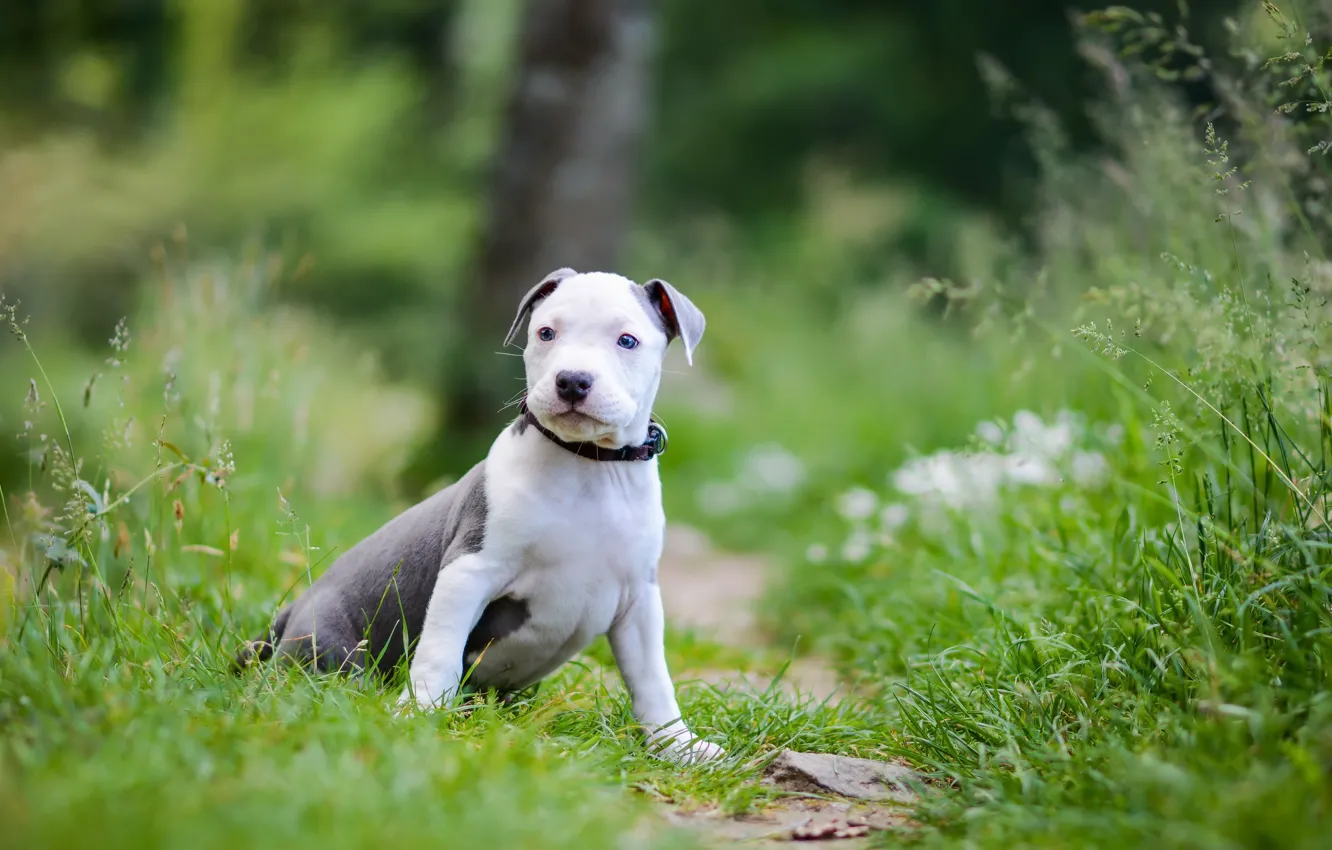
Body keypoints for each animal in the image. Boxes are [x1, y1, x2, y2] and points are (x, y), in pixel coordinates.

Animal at [234, 267, 724, 767]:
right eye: (546, 333)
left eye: (627, 340)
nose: (572, 381)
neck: (588, 465)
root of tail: (292, 609)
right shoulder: (469, 569)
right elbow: (440, 650)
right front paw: (420, 713)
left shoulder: (638, 599)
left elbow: (653, 681)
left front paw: (679, 746)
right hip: (331, 646)